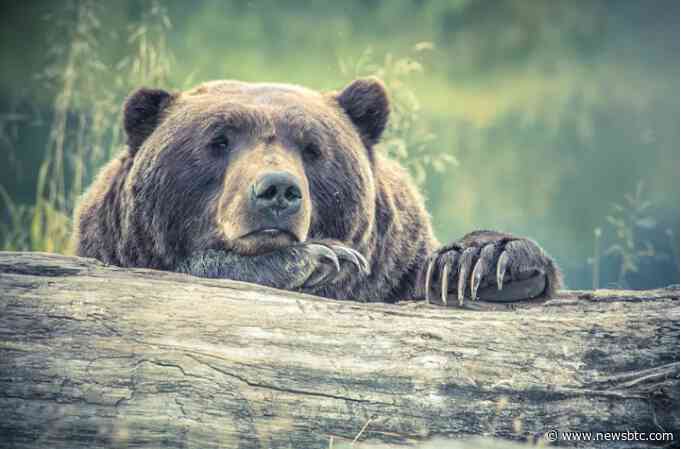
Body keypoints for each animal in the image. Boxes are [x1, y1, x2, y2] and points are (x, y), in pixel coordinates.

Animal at [73, 78, 562, 305]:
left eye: (312, 148)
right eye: (218, 141)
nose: (277, 190)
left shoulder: (394, 268)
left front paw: (482, 263)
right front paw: (320, 258)